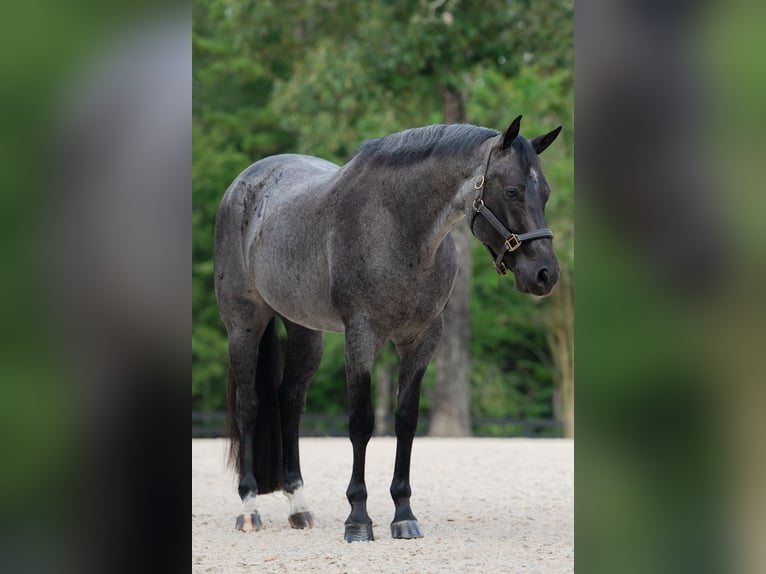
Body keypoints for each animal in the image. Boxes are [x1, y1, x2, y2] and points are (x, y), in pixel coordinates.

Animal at [213, 116, 562, 542]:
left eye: (545, 192)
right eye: (512, 190)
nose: (545, 275)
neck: (399, 226)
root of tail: (244, 183)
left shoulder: (422, 339)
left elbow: (406, 420)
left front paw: (403, 514)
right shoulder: (361, 337)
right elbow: (361, 423)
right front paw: (358, 519)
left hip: (304, 330)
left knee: (290, 402)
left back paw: (299, 508)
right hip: (243, 323)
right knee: (249, 405)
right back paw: (248, 508)